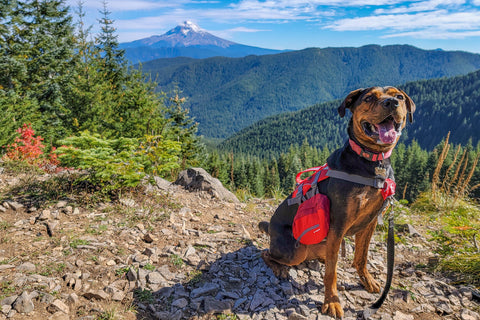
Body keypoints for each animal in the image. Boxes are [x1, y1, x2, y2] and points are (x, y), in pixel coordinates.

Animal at [258, 85, 416, 318]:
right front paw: (332, 302)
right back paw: (279, 267)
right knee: (266, 253)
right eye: (369, 98)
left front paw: (366, 280)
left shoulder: (369, 222)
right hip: (294, 251)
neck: (372, 161)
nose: (392, 103)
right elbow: (331, 274)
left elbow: (361, 256)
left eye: (398, 96)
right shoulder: (339, 224)